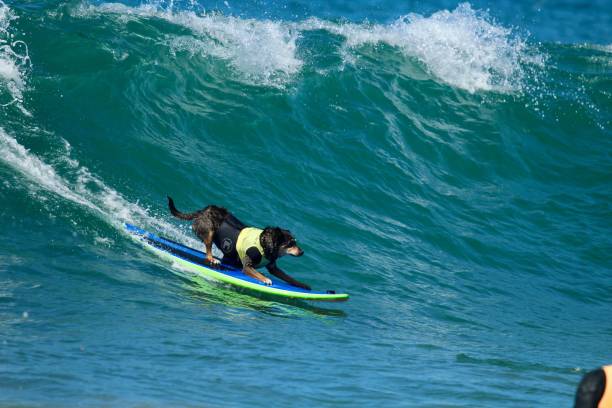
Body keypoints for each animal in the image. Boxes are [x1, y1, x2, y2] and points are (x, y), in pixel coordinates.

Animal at [167, 198, 310, 290]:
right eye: (290, 244)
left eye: (295, 243)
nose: (302, 252)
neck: (266, 244)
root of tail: (203, 210)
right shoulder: (247, 267)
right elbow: (256, 273)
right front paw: (265, 279)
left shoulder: (273, 267)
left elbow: (287, 277)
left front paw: (301, 284)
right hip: (210, 230)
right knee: (208, 249)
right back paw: (212, 258)